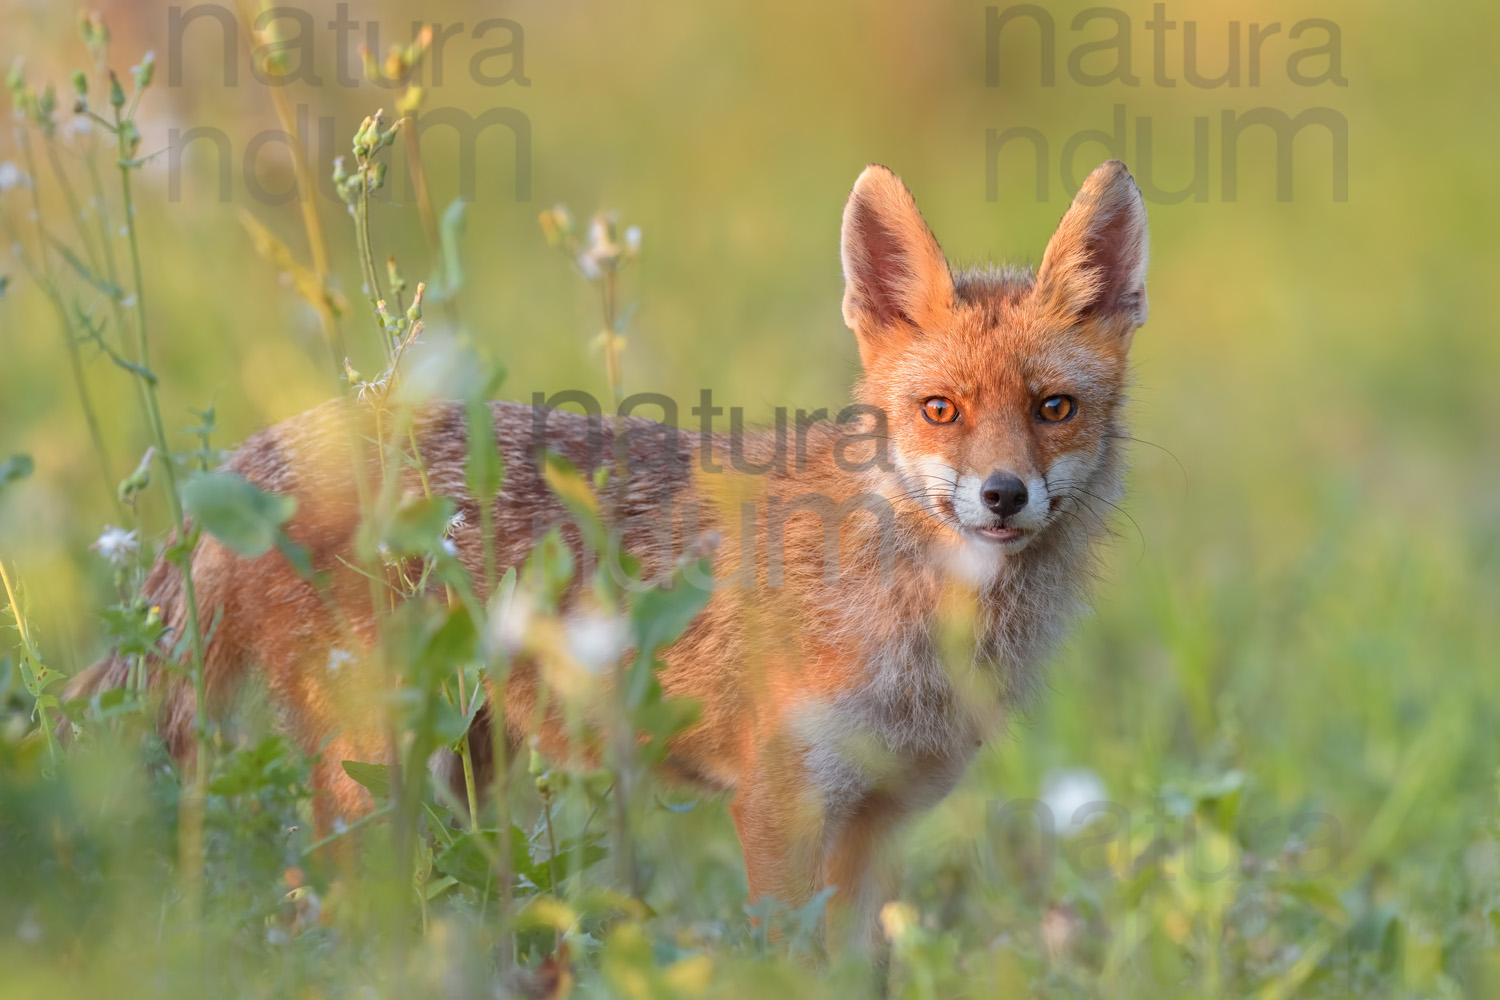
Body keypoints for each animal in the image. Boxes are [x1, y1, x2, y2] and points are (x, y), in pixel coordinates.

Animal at [64, 158, 1146, 947]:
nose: (1002, 496)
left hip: (461, 767)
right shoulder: (780, 805)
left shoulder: (878, 823)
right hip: (378, 767)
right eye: (941, 410)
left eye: (1054, 409)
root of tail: (263, 453)